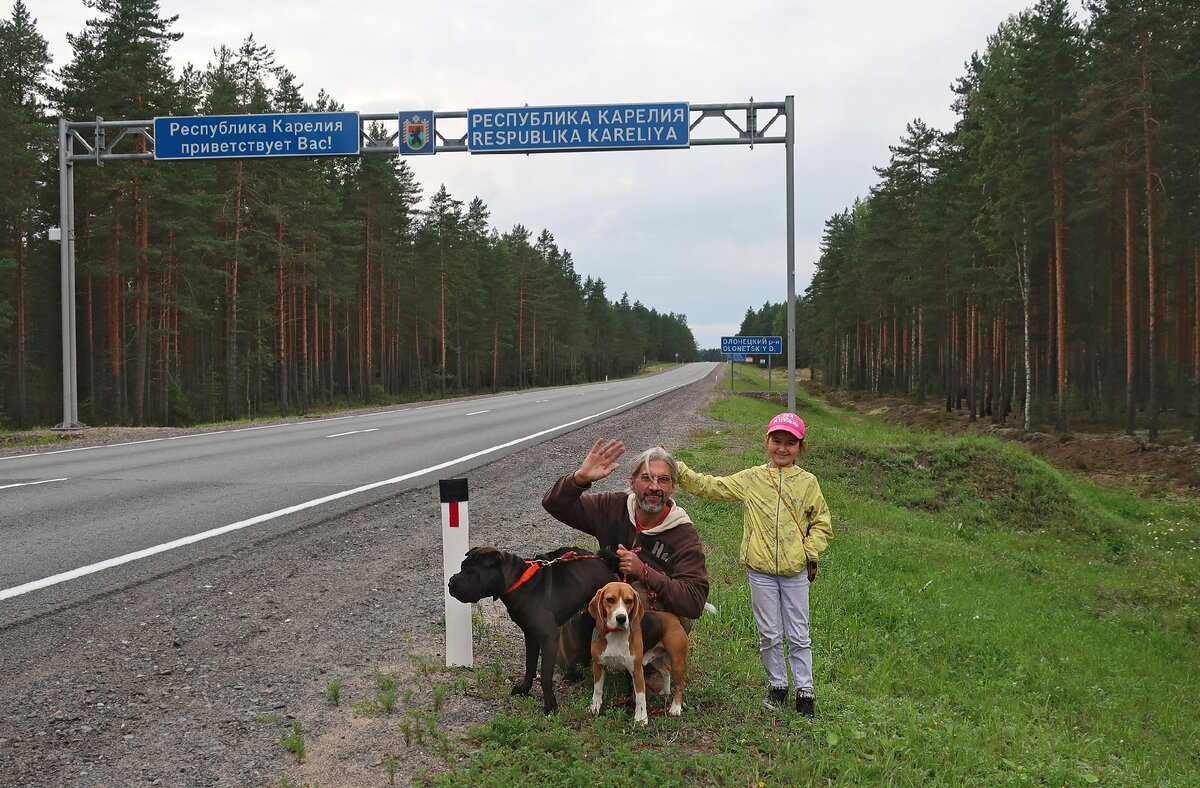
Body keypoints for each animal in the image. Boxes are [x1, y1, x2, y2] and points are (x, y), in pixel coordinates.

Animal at [451, 546, 619, 714]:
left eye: (473, 571)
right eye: (461, 566)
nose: (450, 582)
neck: (517, 581)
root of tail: (604, 561)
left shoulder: (549, 637)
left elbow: (544, 676)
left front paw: (550, 706)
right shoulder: (530, 635)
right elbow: (530, 666)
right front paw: (524, 689)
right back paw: (576, 674)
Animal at [588, 578, 691, 724]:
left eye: (629, 601)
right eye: (610, 600)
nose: (621, 618)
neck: (616, 633)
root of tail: (672, 617)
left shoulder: (636, 670)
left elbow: (641, 697)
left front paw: (641, 718)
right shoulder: (598, 665)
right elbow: (597, 690)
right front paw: (595, 707)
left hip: (678, 660)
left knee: (680, 684)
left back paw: (675, 708)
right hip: (655, 657)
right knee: (666, 670)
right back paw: (665, 691)